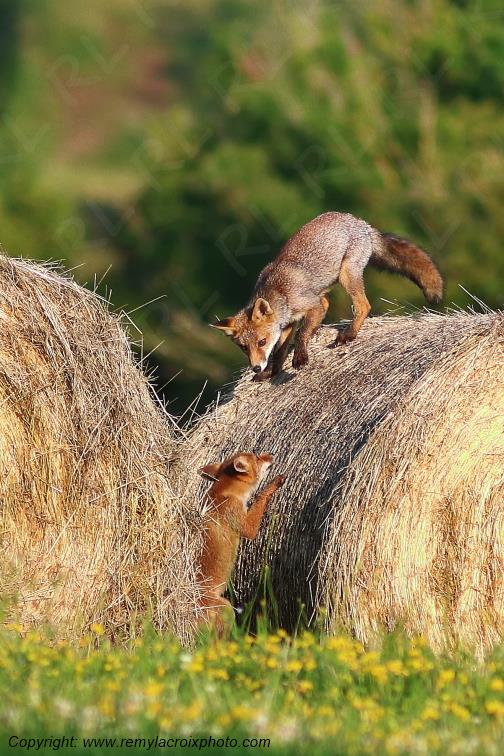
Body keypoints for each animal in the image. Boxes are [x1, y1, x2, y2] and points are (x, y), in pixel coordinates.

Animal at [197, 451, 285, 636]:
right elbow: (260, 498)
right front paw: (274, 484)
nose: (271, 454)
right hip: (227, 609)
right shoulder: (247, 526)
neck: (226, 493)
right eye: (257, 457)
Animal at [211, 211, 444, 380]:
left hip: (346, 275)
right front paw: (272, 371)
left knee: (364, 306)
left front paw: (300, 357)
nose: (256, 368)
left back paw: (349, 334)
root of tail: (361, 223)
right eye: (244, 347)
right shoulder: (288, 323)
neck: (280, 293)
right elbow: (279, 350)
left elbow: (301, 333)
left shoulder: (312, 305)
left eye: (261, 342)